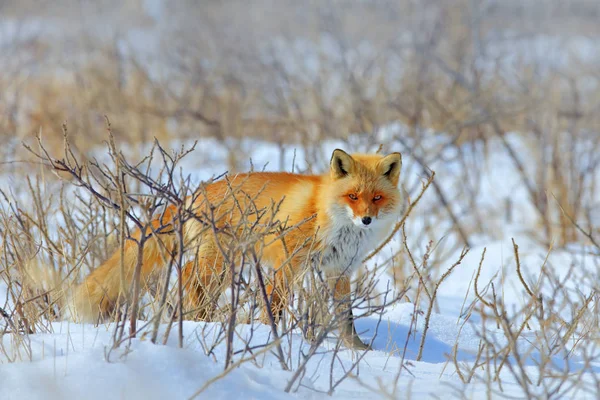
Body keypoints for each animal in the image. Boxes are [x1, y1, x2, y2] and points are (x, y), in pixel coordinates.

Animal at [75, 148, 404, 348]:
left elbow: (346, 319)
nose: (365, 219)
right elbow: (276, 304)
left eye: (376, 198)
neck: (326, 214)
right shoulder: (287, 263)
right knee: (188, 276)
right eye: (352, 196)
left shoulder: (339, 271)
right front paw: (271, 337)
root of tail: (199, 191)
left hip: (225, 266)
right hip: (217, 262)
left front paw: (356, 350)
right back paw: (196, 321)